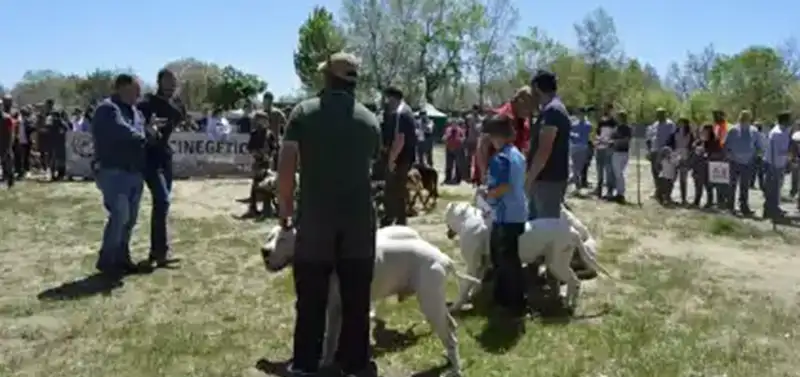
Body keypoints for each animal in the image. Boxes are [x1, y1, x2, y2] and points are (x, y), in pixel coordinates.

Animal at [262, 225, 478, 374]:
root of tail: (443, 258)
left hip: (430, 302)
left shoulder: (335, 309)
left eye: (283, 239)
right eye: (270, 236)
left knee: (450, 337)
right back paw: (450, 359)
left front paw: (325, 362)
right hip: (437, 303)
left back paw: (455, 370)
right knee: (452, 327)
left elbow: (330, 339)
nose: (264, 251)